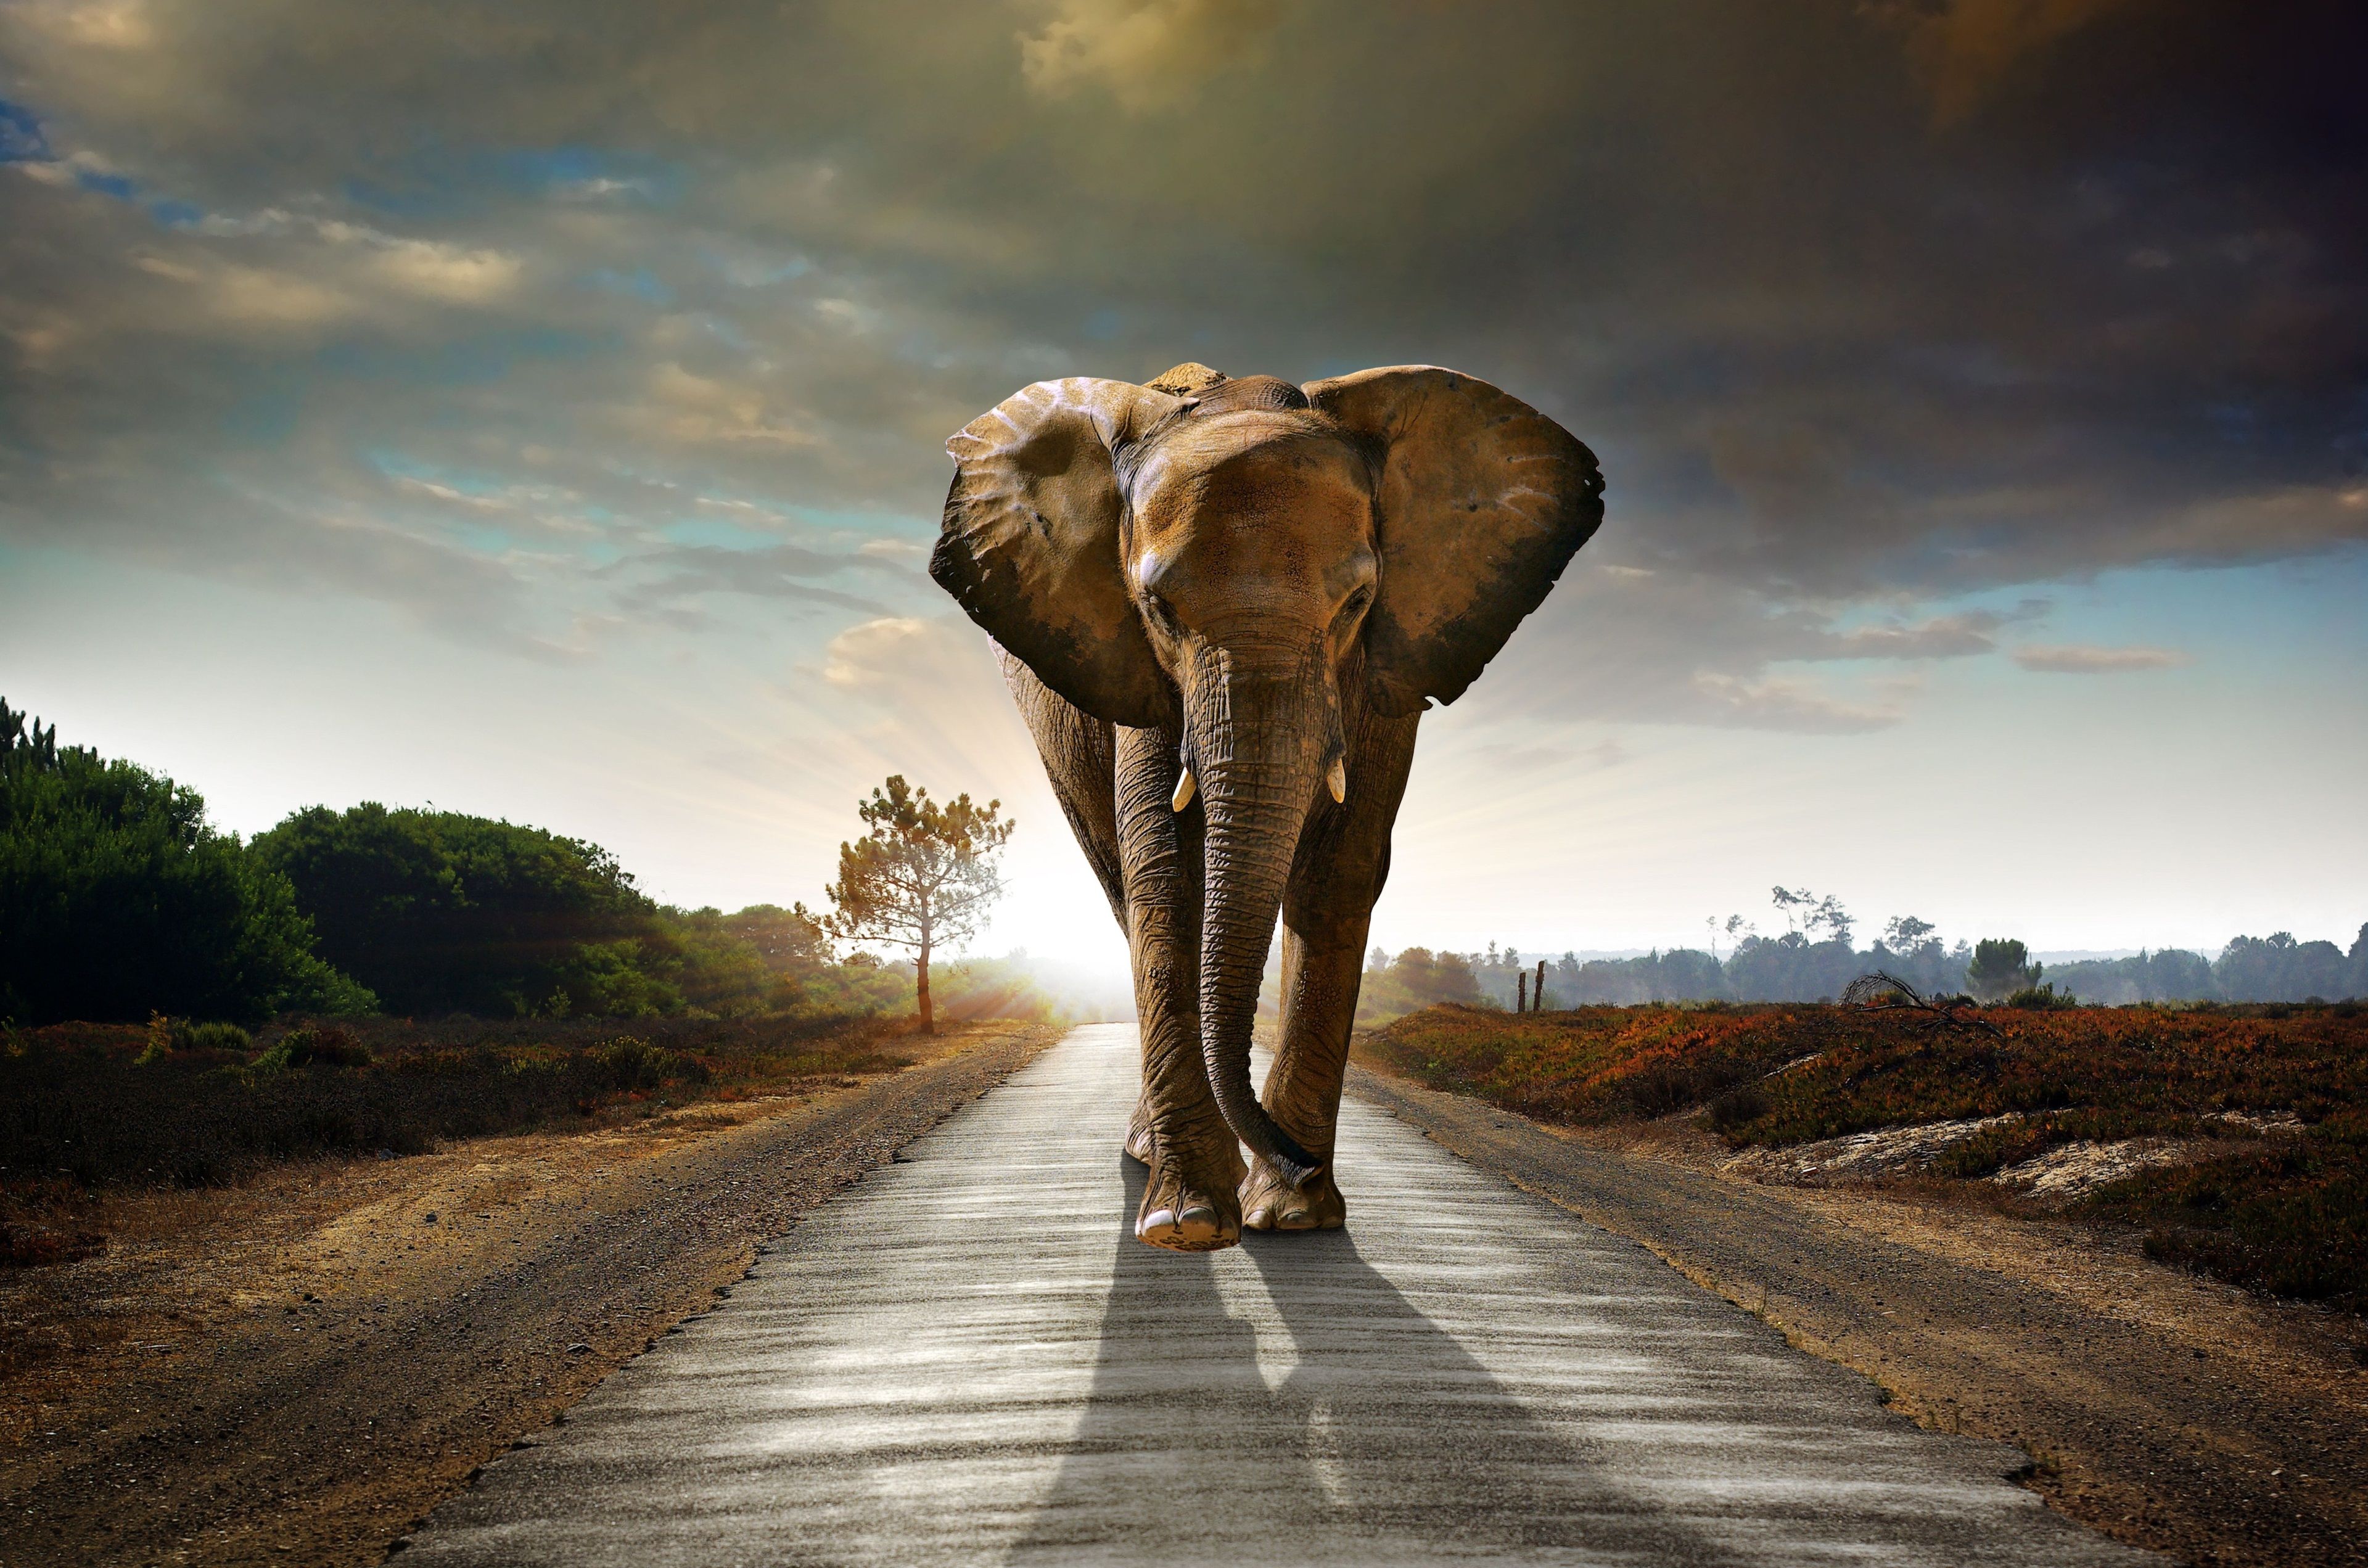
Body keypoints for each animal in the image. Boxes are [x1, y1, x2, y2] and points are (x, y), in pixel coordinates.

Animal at [931, 362, 1603, 1251]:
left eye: (1357, 602)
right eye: (1158, 608)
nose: (1298, 1159)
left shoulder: (1385, 671)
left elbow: (1339, 871)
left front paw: (1293, 1215)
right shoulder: (1140, 673)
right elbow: (1169, 872)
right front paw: (1189, 1223)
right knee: (1121, 886)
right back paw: (1153, 1157)